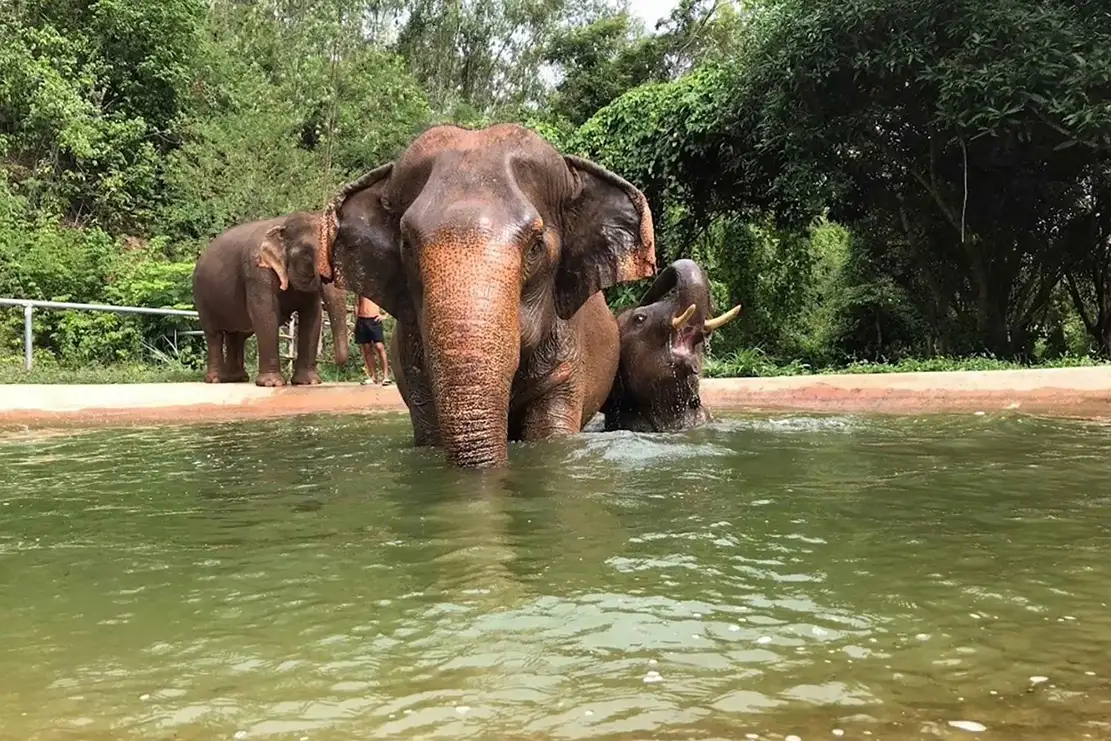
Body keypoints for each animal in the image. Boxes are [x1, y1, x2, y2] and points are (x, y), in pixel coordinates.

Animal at [192, 211, 350, 386]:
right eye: (307, 253)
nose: (336, 362)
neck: (284, 223)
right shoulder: (257, 272)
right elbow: (265, 314)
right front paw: (272, 383)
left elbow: (312, 317)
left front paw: (309, 382)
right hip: (201, 297)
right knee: (214, 335)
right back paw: (216, 379)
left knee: (237, 335)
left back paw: (237, 378)